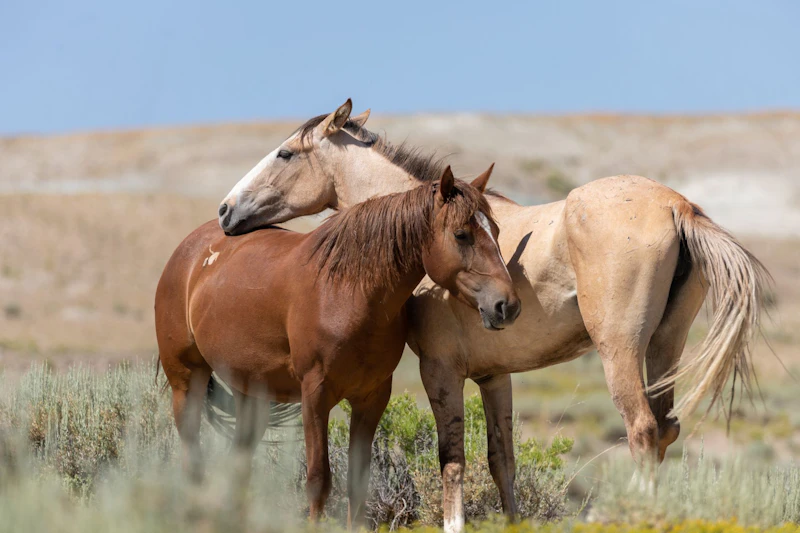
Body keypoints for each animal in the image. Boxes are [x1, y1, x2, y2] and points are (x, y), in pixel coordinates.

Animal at [155, 162, 520, 526]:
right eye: (461, 234)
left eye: (496, 231)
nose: (508, 305)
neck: (349, 290)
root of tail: (188, 251)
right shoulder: (315, 395)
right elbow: (319, 480)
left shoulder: (371, 398)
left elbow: (357, 483)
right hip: (187, 381)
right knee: (192, 456)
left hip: (250, 392)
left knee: (238, 462)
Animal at [217, 100, 770, 532]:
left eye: (286, 153)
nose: (225, 211)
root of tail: (677, 206)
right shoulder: (494, 376)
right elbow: (501, 462)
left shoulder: (440, 371)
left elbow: (452, 460)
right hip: (663, 348)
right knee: (665, 429)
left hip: (620, 352)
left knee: (642, 431)